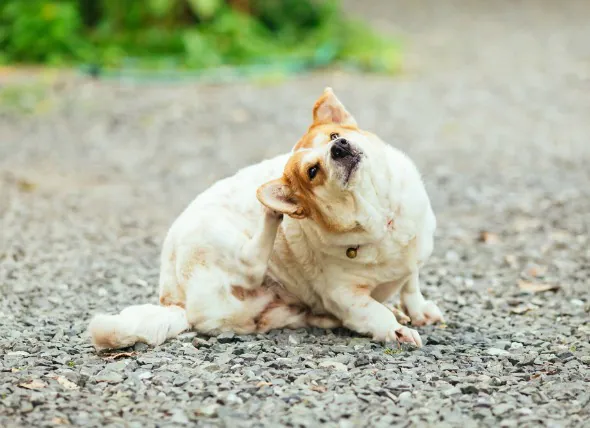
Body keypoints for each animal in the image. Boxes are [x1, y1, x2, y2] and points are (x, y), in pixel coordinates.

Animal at [89, 87, 444, 352]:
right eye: (312, 172)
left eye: (334, 135)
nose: (340, 147)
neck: (381, 219)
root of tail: (173, 300)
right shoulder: (346, 297)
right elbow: (373, 313)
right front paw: (395, 330)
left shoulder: (411, 263)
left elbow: (411, 286)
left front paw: (417, 310)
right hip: (218, 237)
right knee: (251, 262)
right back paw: (270, 214)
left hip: (271, 312)